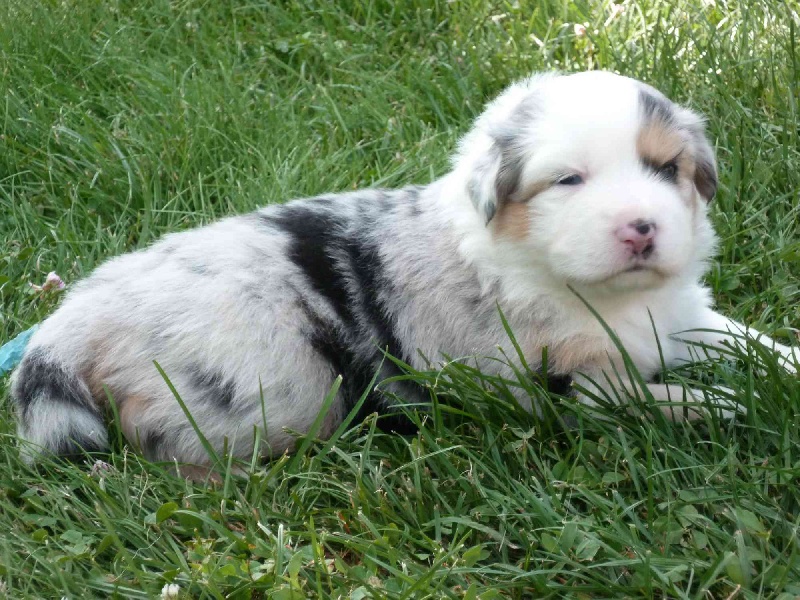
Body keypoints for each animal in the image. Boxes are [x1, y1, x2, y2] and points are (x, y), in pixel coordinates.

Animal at [9, 71, 798, 466]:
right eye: (568, 181)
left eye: (666, 169)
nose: (642, 229)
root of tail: (74, 319)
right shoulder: (563, 381)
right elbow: (650, 399)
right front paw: (722, 405)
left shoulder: (682, 313)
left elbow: (744, 338)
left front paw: (778, 368)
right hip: (275, 381)